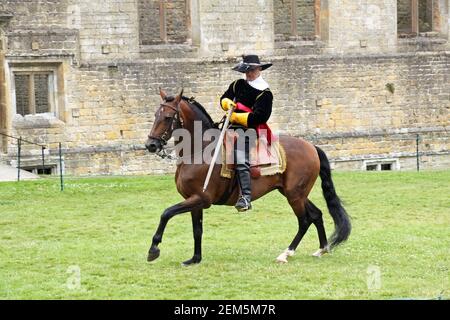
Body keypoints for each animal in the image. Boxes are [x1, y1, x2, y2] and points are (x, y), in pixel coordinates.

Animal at [146, 89, 350, 266]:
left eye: (167, 117)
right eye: (155, 115)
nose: (151, 145)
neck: (199, 150)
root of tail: (311, 146)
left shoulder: (202, 198)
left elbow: (166, 213)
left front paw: (154, 249)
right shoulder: (194, 200)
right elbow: (197, 230)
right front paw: (195, 259)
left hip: (295, 195)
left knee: (304, 220)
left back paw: (286, 253)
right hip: (294, 193)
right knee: (316, 214)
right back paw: (322, 249)